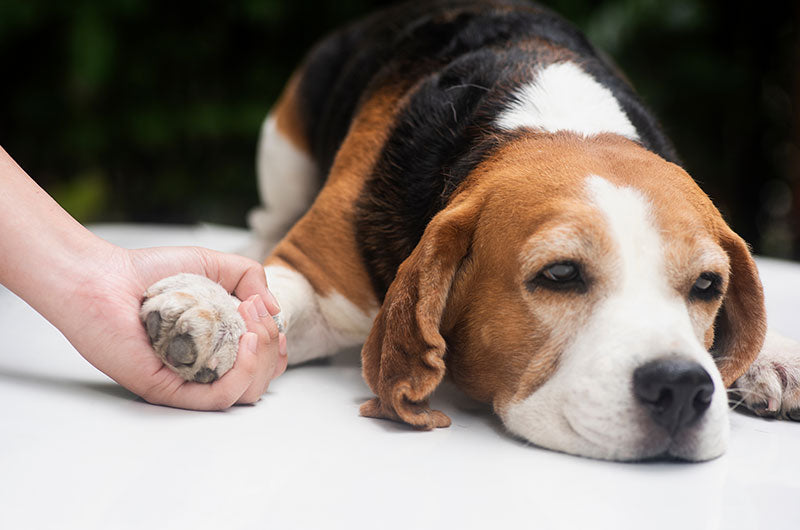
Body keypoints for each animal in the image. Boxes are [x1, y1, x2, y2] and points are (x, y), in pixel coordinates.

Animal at [141, 0, 800, 458]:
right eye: (560, 274)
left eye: (708, 286)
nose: (682, 389)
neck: (548, 121)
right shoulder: (319, 277)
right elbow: (272, 294)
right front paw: (213, 308)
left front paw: (769, 354)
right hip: (283, 144)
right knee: (265, 219)